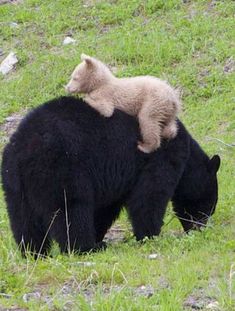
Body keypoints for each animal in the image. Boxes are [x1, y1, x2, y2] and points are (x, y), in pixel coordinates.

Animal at [0, 97, 220, 256]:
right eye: (209, 205)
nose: (200, 227)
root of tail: (24, 149)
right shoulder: (160, 157)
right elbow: (149, 196)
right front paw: (150, 236)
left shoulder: (115, 181)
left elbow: (105, 209)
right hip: (61, 169)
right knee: (71, 210)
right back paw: (86, 248)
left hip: (14, 183)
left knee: (23, 219)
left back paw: (33, 252)